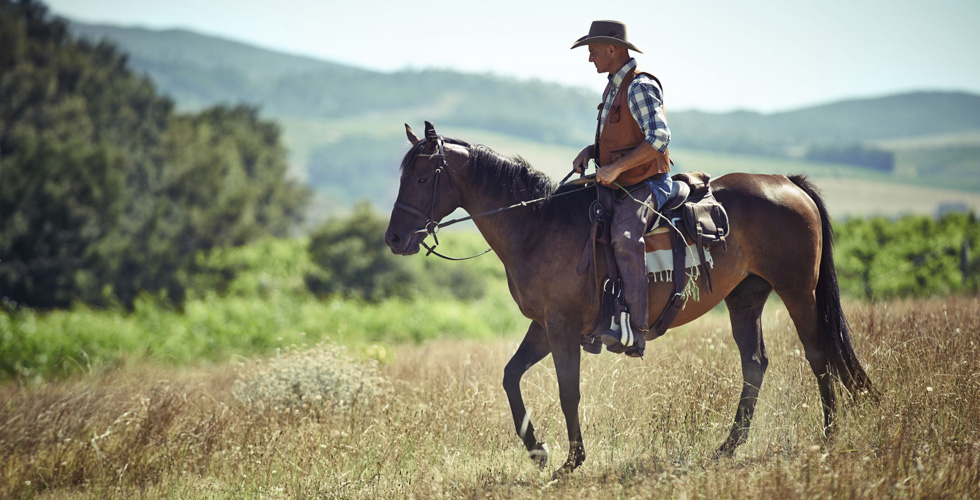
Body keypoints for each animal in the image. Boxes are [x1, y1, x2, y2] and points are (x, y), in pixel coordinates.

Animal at [382, 122, 872, 476]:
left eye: (422, 176)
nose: (394, 239)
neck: (538, 226)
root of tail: (787, 182)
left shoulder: (561, 327)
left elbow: (568, 392)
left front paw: (570, 461)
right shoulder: (543, 325)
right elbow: (510, 377)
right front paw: (539, 450)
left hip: (797, 292)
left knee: (817, 354)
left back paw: (829, 436)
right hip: (745, 300)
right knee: (755, 364)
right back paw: (727, 447)